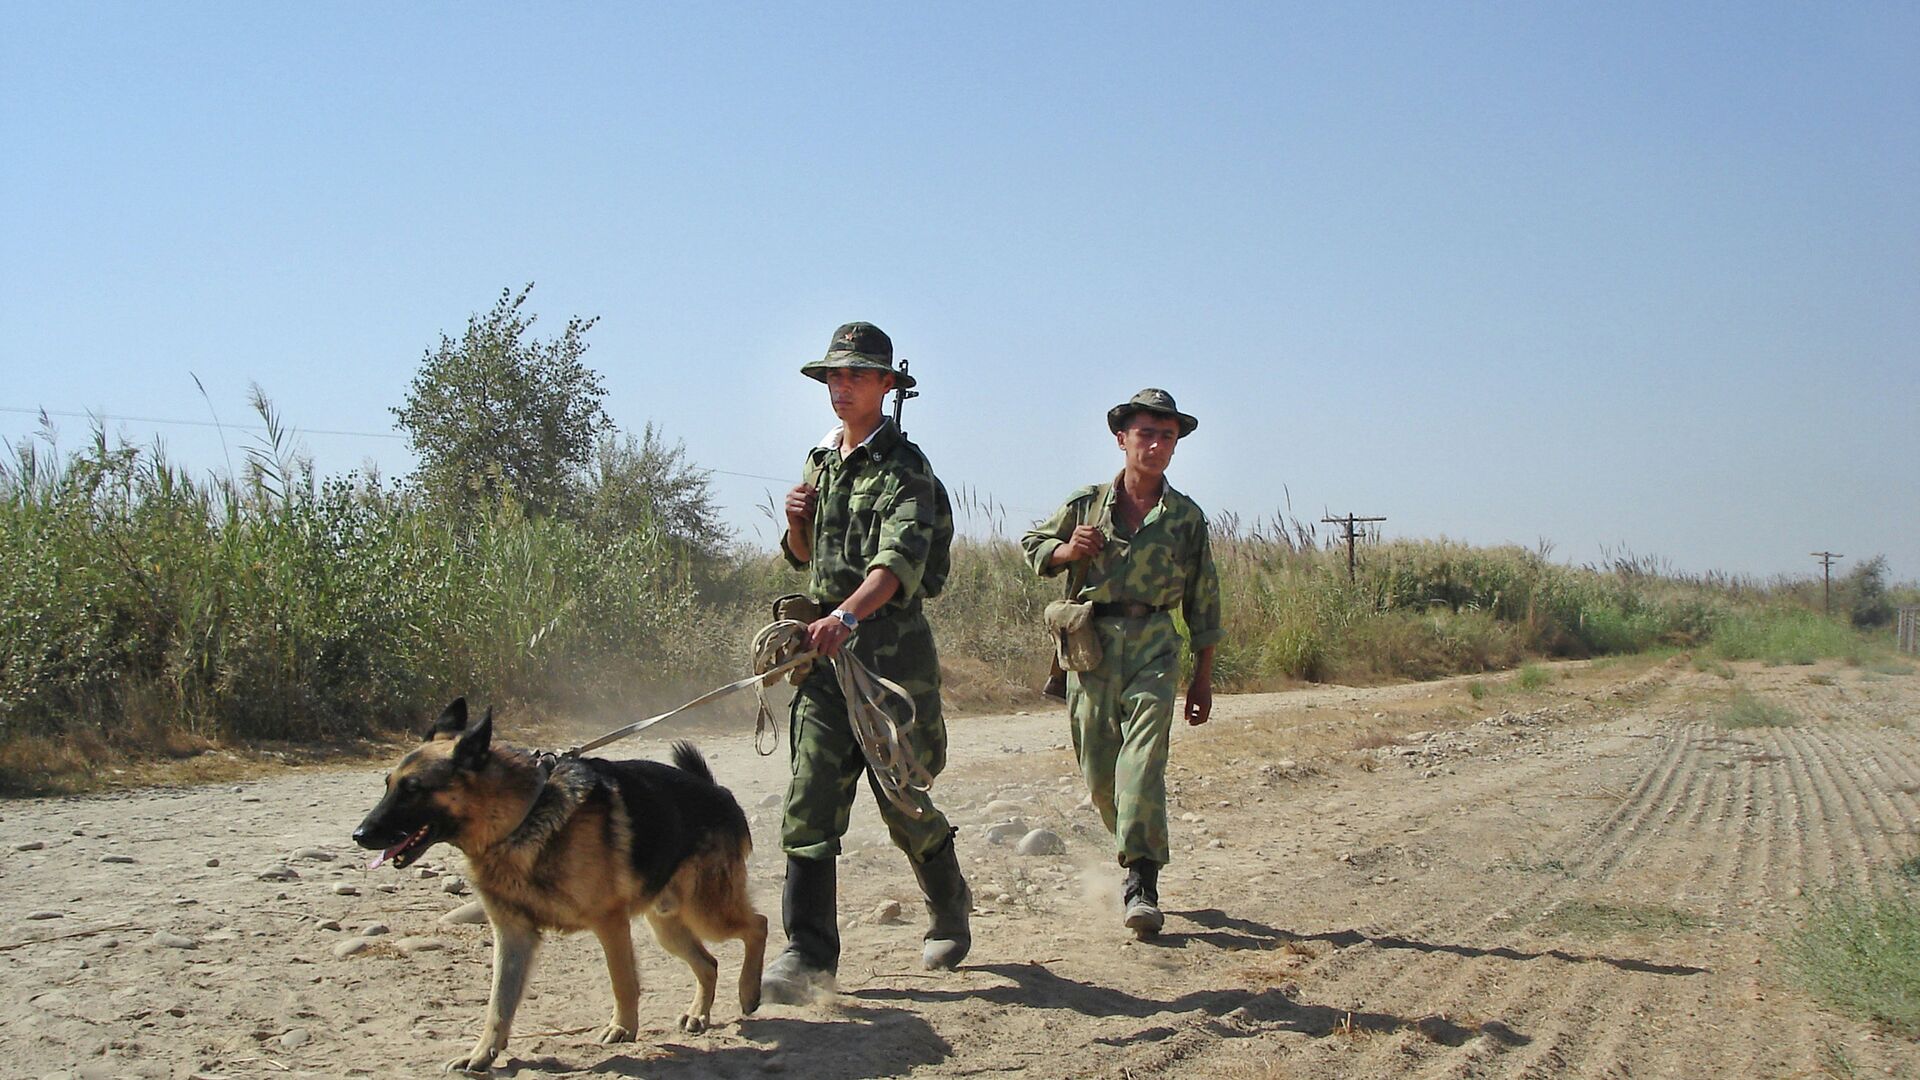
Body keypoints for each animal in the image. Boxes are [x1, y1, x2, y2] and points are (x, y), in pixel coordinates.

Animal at [353, 699, 764, 1068]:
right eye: (388, 785)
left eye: (413, 788)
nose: (359, 835)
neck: (521, 816)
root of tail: (718, 792)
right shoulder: (513, 935)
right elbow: (498, 1003)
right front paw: (483, 1053)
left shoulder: (610, 924)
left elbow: (622, 981)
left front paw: (623, 1027)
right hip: (668, 926)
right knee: (709, 963)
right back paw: (699, 1013)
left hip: (707, 913)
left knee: (757, 926)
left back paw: (748, 991)